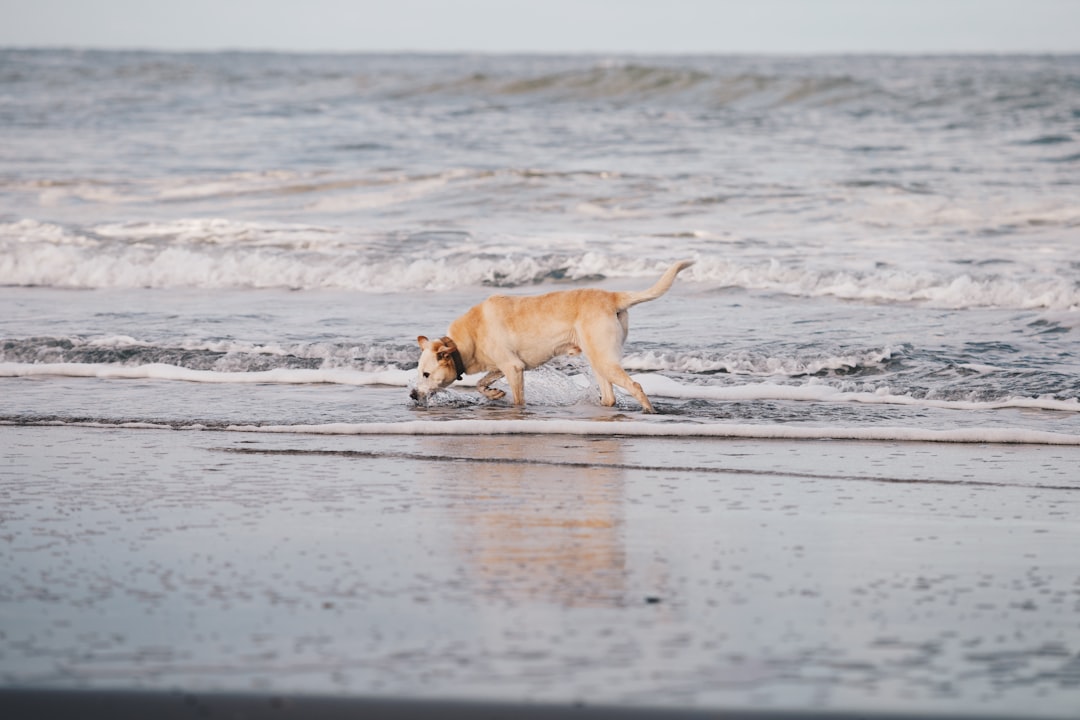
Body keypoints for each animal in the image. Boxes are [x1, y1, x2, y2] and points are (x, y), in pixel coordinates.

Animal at [408, 262, 695, 414]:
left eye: (425, 374)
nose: (411, 395)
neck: (463, 341)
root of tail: (613, 296)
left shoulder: (513, 368)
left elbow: (517, 399)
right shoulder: (505, 365)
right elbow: (481, 382)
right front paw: (493, 394)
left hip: (604, 360)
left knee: (635, 386)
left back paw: (650, 411)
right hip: (598, 360)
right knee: (610, 396)